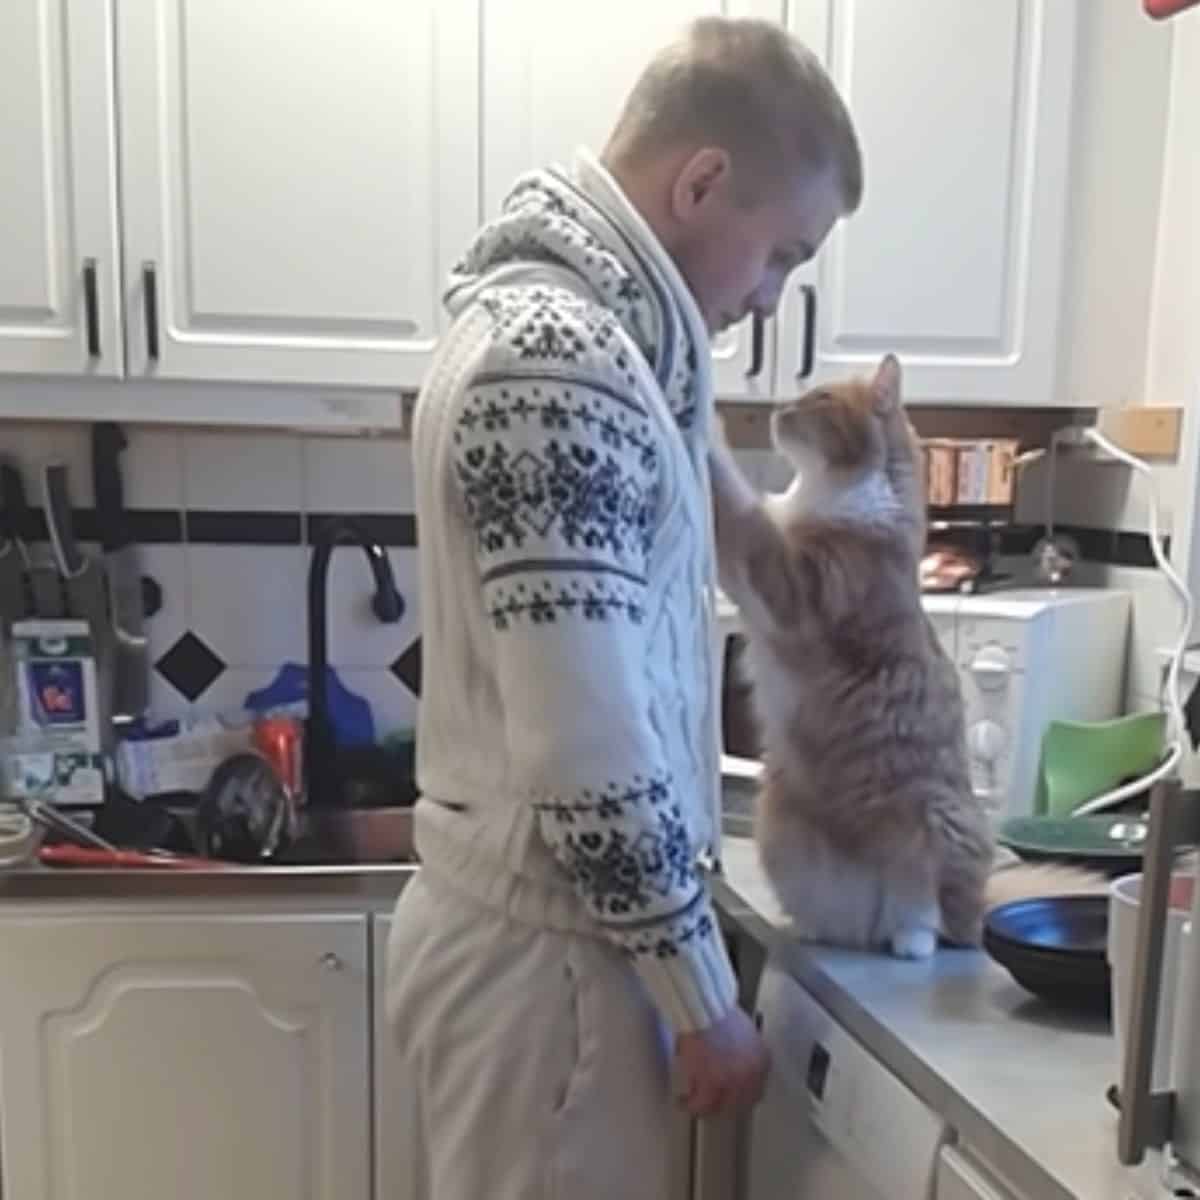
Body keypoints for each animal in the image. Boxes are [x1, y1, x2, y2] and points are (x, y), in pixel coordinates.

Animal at [710, 352, 1099, 955]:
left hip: (935, 827)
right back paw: (823, 932)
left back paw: (911, 941)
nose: (776, 410)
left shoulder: (790, 583)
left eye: (821, 398)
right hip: (779, 826)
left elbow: (743, 512)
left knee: (934, 924)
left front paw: (706, 430)